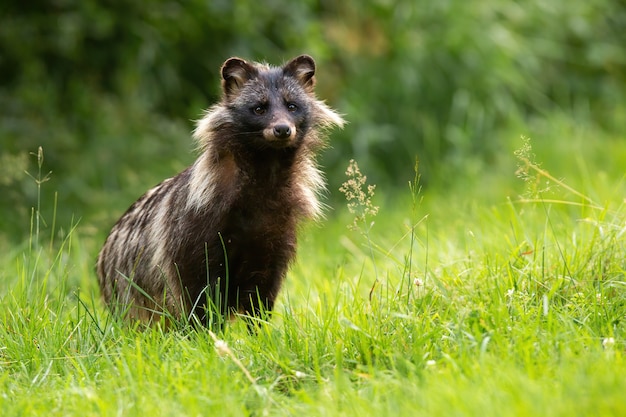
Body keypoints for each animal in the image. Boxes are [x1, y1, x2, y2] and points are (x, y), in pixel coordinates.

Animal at [95, 53, 344, 324]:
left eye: (292, 106)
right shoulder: (194, 228)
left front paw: (260, 328)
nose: (282, 130)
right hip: (127, 290)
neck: (266, 170)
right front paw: (203, 330)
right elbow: (195, 292)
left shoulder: (276, 234)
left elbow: (262, 293)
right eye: (259, 108)